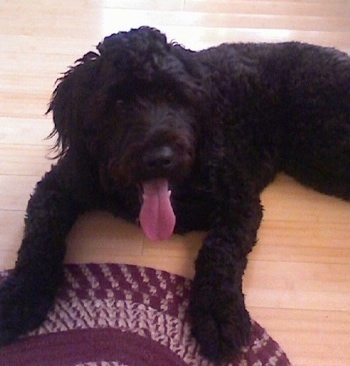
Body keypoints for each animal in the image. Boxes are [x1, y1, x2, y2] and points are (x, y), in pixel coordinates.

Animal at [0, 27, 350, 362]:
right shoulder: (57, 187)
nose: (160, 157)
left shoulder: (239, 200)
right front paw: (20, 295)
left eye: (175, 95)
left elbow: (219, 252)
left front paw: (218, 313)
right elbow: (38, 241)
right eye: (118, 104)